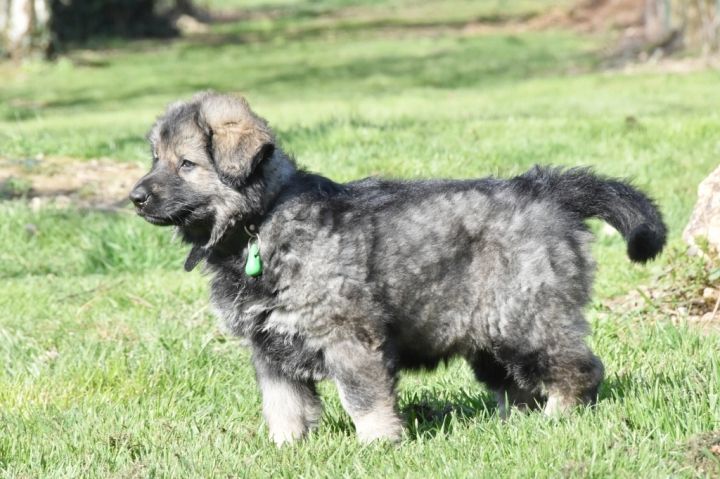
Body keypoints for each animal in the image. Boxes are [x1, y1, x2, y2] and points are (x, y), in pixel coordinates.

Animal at [130, 92, 666, 445]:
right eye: (154, 159)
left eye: (186, 164)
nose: (134, 197)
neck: (260, 222)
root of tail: (544, 188)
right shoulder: (269, 347)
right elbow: (283, 405)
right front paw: (286, 449)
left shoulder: (348, 337)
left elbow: (363, 397)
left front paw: (379, 444)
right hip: (489, 334)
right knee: (516, 383)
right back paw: (516, 424)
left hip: (525, 315)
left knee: (578, 368)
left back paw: (559, 418)